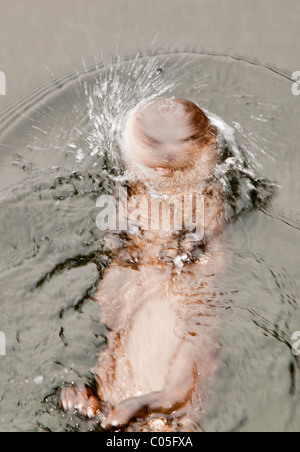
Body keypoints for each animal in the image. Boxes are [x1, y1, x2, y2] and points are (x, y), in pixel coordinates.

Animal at [59, 99, 226, 430]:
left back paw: (114, 409)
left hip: (190, 366)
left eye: (188, 138)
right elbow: (112, 233)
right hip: (109, 365)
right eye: (152, 139)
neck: (166, 206)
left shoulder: (215, 206)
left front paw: (182, 245)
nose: (166, 157)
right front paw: (130, 244)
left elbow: (205, 237)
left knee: (161, 399)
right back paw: (79, 400)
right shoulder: (121, 203)